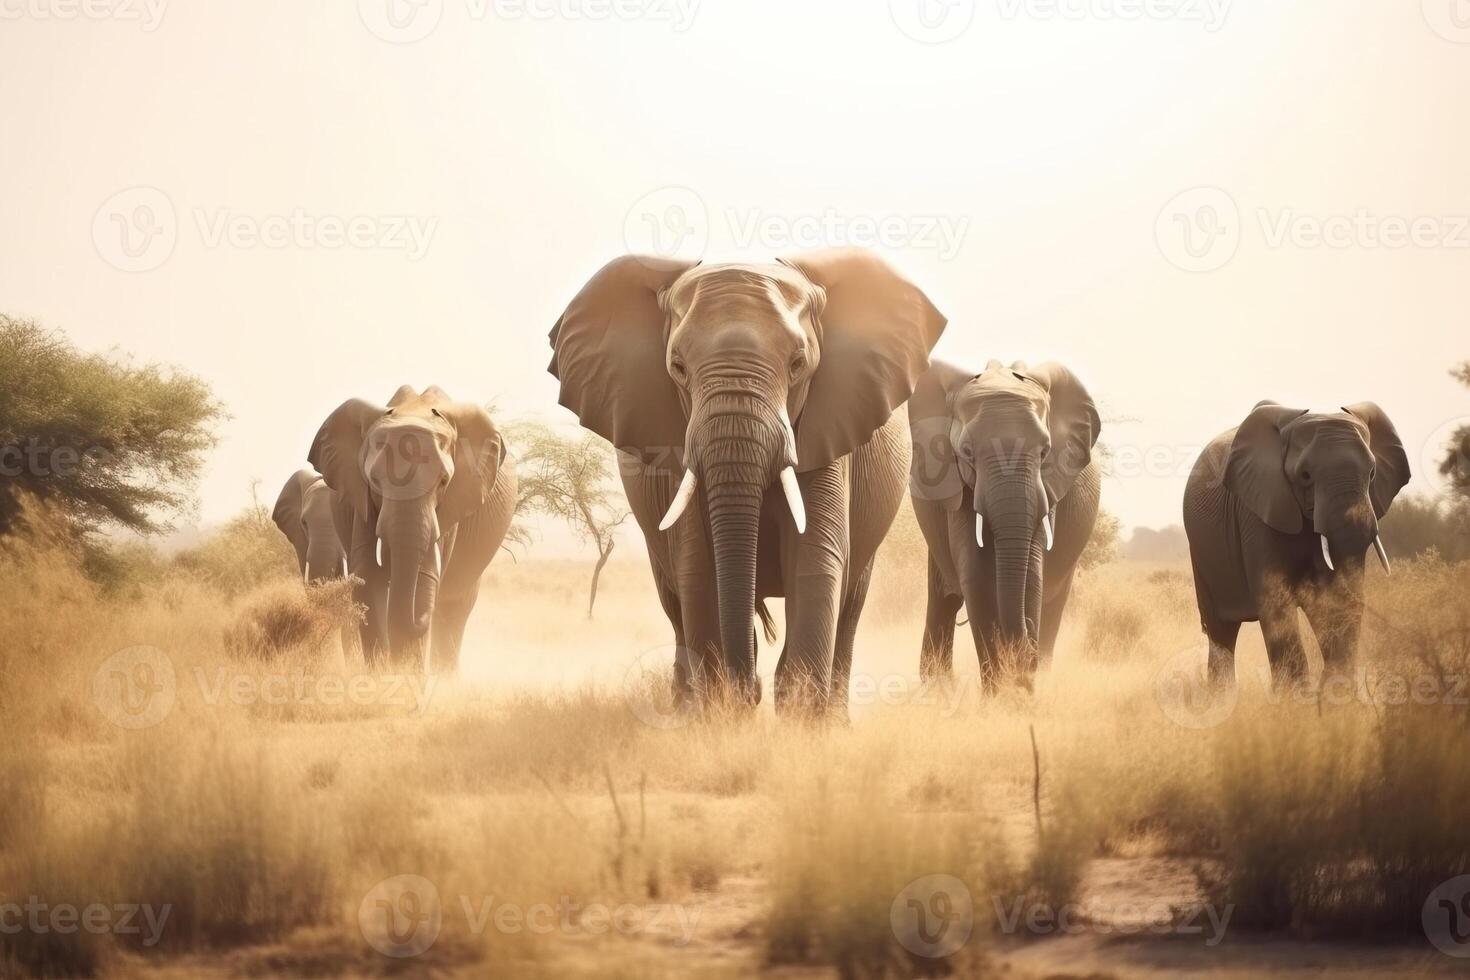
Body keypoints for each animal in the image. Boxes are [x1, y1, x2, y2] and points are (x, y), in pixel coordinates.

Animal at [307, 387, 520, 669]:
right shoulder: (360, 499)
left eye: (443, 481)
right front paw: (384, 673)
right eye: (374, 481)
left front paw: (404, 675)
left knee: (455, 608)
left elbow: (424, 576)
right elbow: (368, 575)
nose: (421, 618)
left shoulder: (454, 502)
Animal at [546, 249, 946, 717]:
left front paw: (799, 721)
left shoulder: (827, 427)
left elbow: (815, 556)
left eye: (798, 365)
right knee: (675, 603)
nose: (749, 687)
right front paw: (722, 715)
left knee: (850, 605)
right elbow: (699, 566)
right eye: (677, 367)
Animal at [905, 357, 1105, 687]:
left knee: (1053, 601)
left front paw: (1019, 691)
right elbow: (976, 576)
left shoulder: (1049, 485)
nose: (1025, 652)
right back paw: (937, 686)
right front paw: (999, 693)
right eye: (967, 452)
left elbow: (1033, 575)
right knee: (944, 598)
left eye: (1045, 451)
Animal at [1181, 399, 1411, 690]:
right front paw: (1293, 699)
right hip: (1200, 552)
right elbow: (1276, 603)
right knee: (1221, 630)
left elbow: (1338, 601)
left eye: (1372, 474)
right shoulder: (1257, 512)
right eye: (1305, 475)